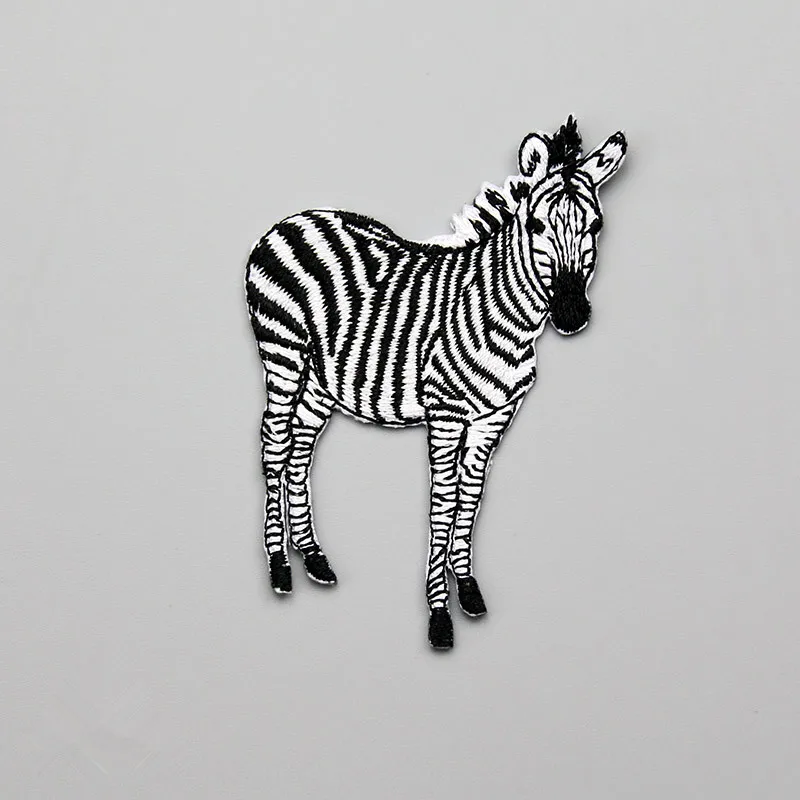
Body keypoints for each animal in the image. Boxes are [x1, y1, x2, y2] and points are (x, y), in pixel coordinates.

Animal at [245, 117, 627, 649]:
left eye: (597, 227)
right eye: (535, 226)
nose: (572, 315)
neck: (503, 315)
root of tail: (291, 220)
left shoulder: (494, 417)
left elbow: (471, 498)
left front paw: (467, 589)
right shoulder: (445, 412)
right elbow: (444, 502)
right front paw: (439, 615)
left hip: (323, 378)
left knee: (301, 449)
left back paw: (313, 558)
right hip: (282, 352)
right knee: (275, 445)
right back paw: (280, 567)